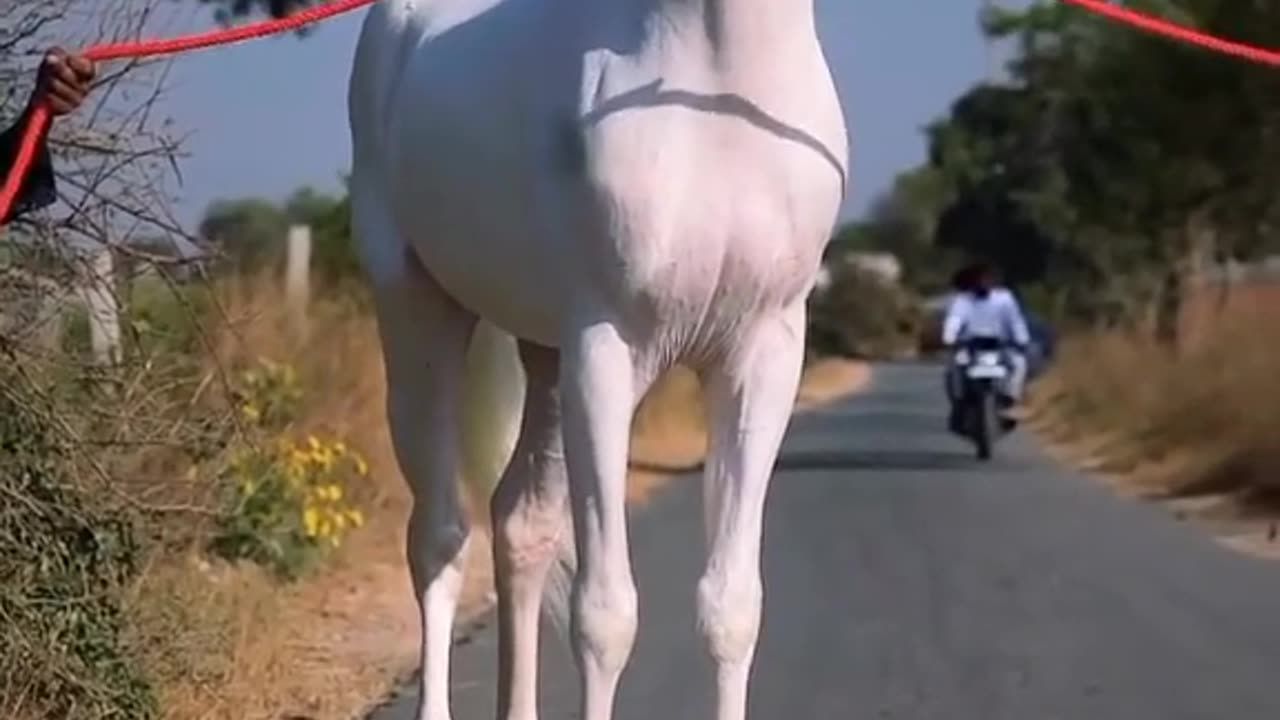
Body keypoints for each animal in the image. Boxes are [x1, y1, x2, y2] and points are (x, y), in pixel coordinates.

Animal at [350, 1, 849, 712]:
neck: (715, 83)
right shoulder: (605, 352)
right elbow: (606, 616)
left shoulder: (762, 357)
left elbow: (732, 608)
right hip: (420, 319)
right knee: (440, 537)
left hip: (547, 361)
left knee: (520, 523)